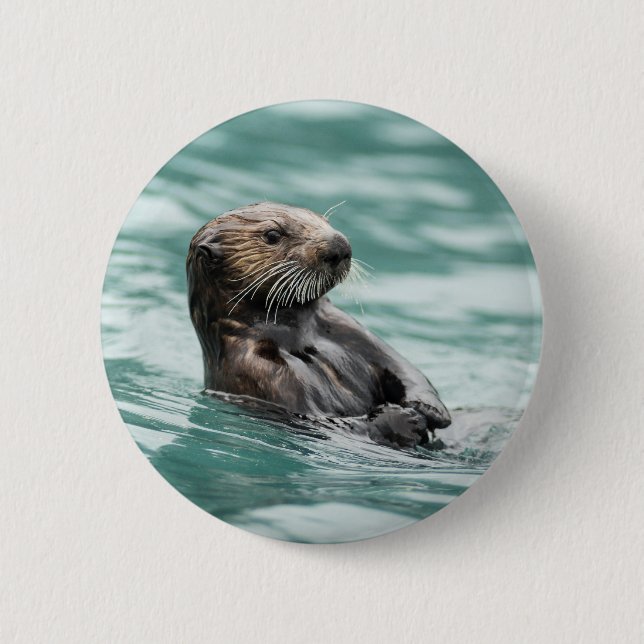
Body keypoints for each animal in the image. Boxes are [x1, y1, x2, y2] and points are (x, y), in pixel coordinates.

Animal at [186, 202, 451, 448]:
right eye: (272, 235)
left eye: (324, 220)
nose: (339, 245)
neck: (299, 336)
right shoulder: (258, 371)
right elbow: (324, 422)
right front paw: (405, 419)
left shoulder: (347, 328)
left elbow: (402, 368)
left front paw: (429, 408)